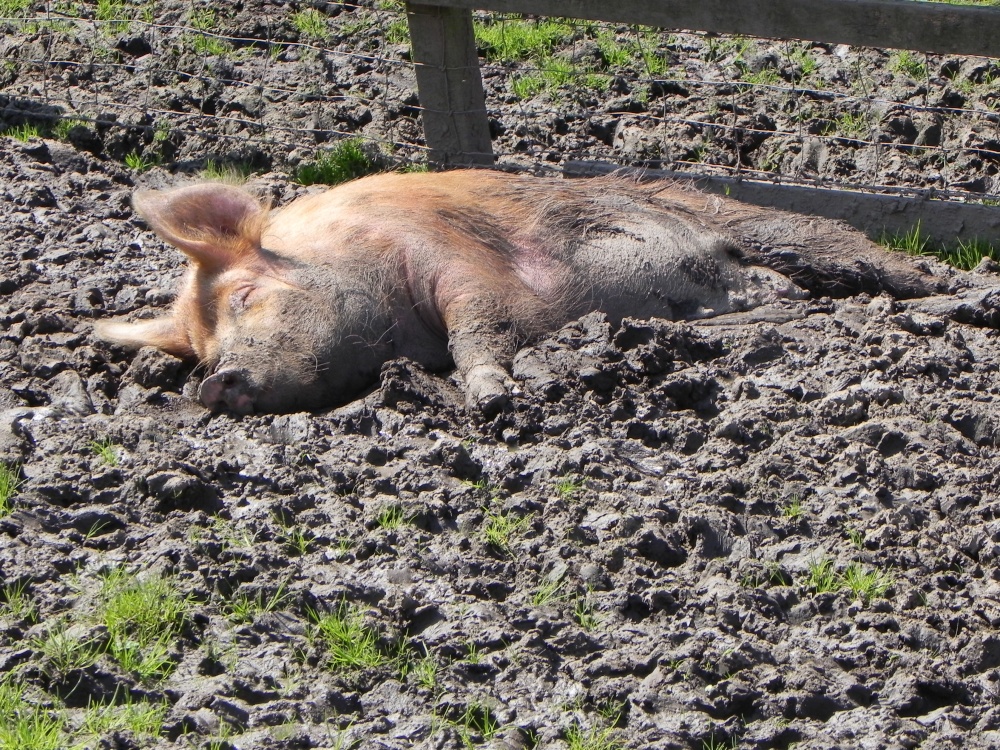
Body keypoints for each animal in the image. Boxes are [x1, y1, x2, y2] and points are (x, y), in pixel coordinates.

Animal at [95, 170, 945, 415]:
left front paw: (494, 396)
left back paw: (947, 297)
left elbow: (479, 322)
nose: (213, 382)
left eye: (243, 297)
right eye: (198, 346)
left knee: (882, 267)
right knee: (785, 299)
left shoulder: (456, 261)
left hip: (781, 228)